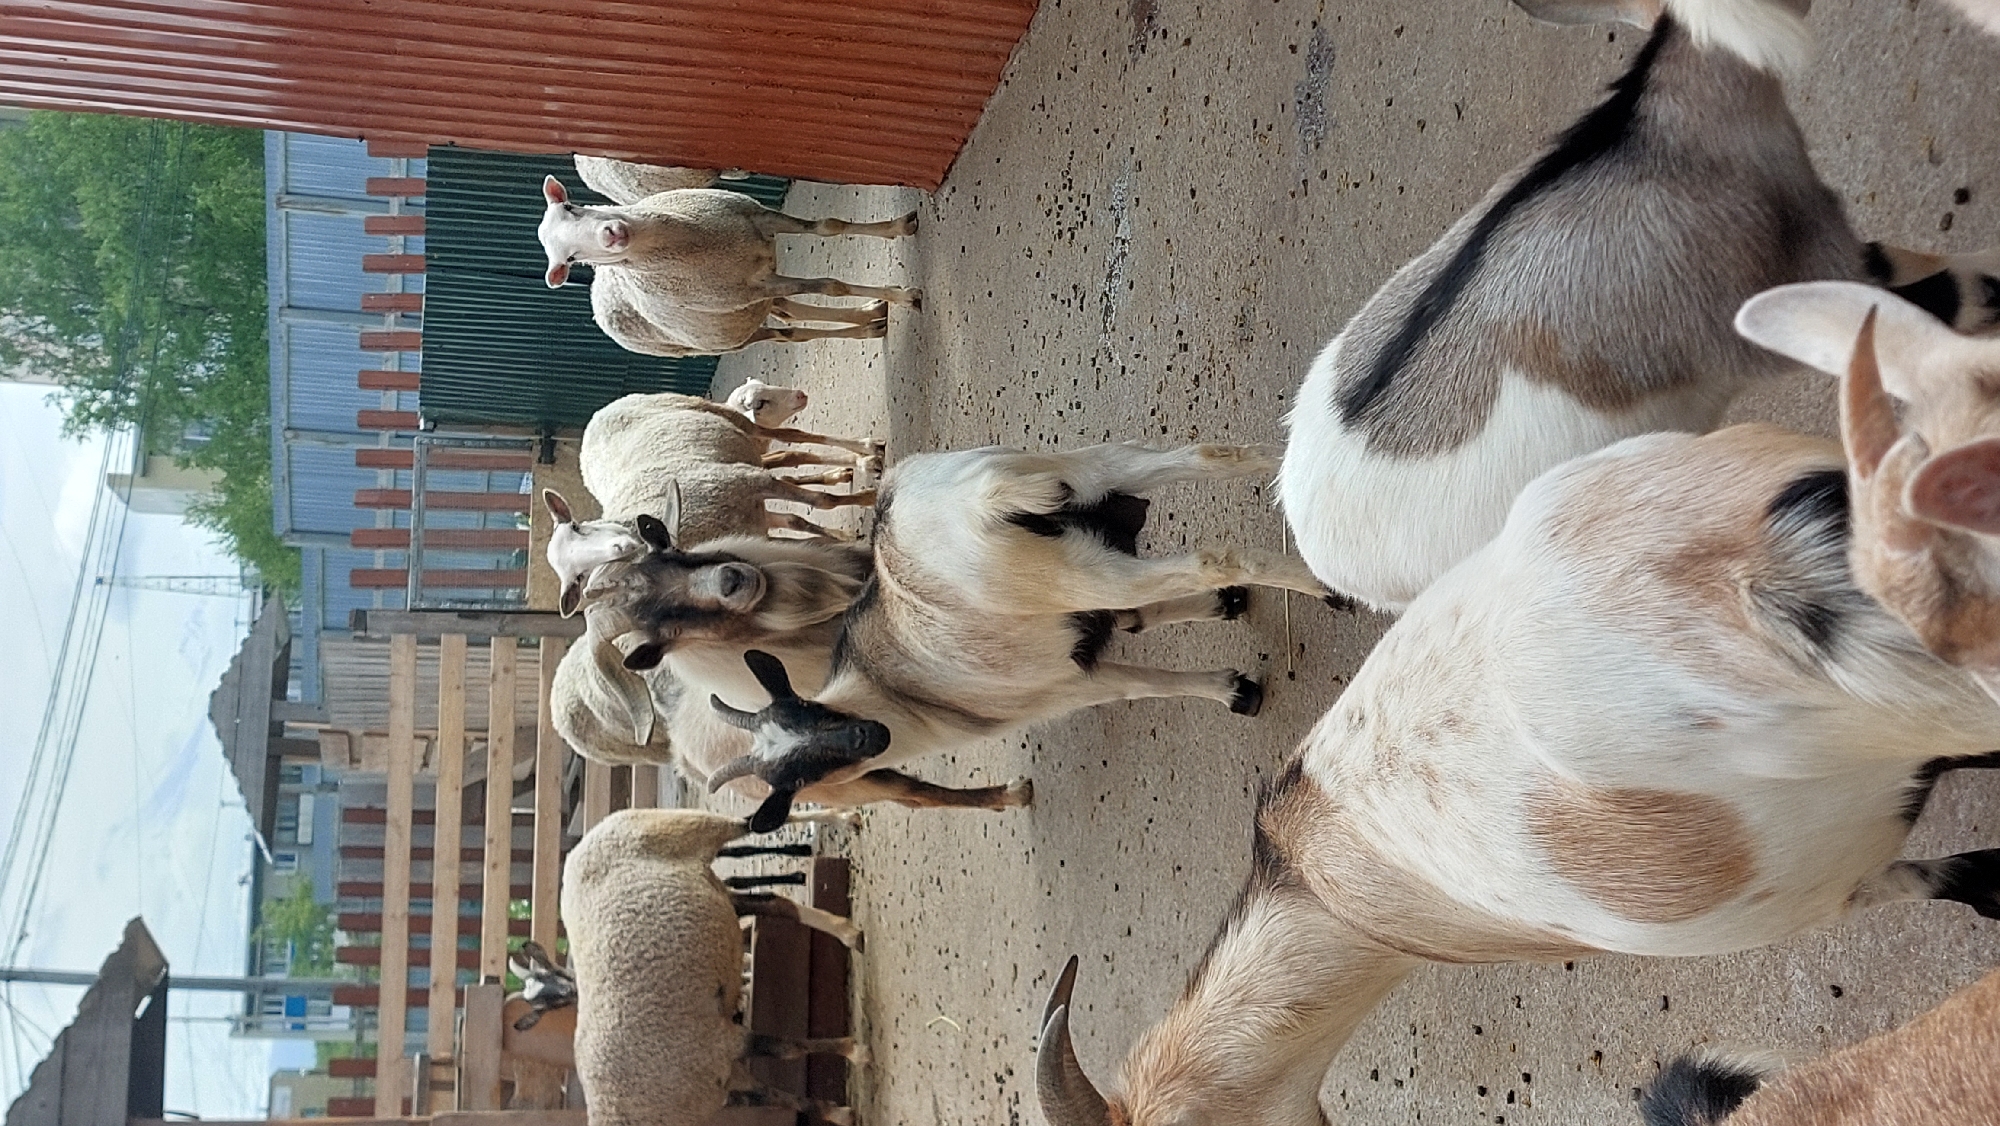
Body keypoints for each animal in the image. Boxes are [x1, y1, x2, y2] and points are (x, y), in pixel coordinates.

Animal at [546, 388, 880, 613]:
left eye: (578, 527)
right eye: (578, 577)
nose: (624, 546)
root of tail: (593, 419)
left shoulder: (744, 479)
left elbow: (822, 501)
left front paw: (870, 497)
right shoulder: (751, 523)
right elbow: (801, 529)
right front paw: (845, 542)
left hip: (720, 415)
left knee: (793, 436)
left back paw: (866, 454)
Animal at [555, 524, 1033, 825]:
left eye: (675, 553)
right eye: (667, 631)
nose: (732, 580)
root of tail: (684, 755)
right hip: (849, 782)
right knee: (916, 795)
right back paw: (1012, 793)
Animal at [561, 808, 864, 1126]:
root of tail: (593, 834)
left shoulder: (719, 1042)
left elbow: (787, 1049)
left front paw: (856, 1052)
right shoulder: (726, 1073)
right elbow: (779, 1095)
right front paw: (837, 1112)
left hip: (688, 827)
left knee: (754, 822)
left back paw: (844, 818)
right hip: (714, 888)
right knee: (775, 902)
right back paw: (846, 931)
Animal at [669, 441, 1335, 828]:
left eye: (803, 775)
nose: (868, 737)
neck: (894, 697)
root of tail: (978, 501)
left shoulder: (1066, 687)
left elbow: (1140, 685)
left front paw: (1235, 692)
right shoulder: (1076, 637)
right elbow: (1142, 623)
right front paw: (1223, 615)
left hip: (1074, 572)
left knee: (1217, 556)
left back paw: (1327, 585)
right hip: (1078, 475)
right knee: (1209, 456)